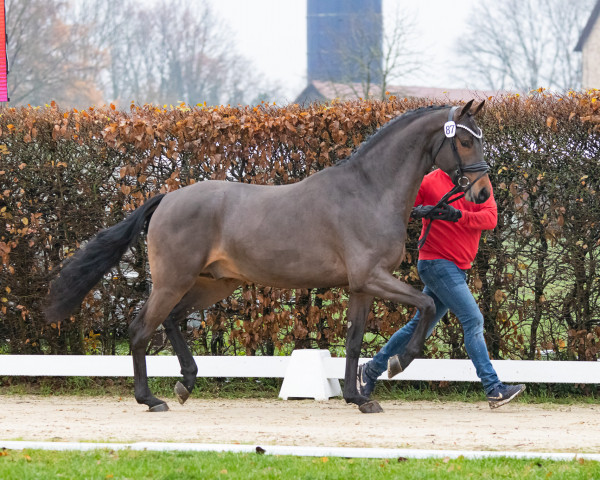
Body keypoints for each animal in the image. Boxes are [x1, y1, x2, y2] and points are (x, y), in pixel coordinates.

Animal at [45, 100, 488, 412]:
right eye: (465, 140)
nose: (482, 193)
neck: (369, 191)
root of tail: (167, 197)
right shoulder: (373, 278)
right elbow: (427, 304)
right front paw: (399, 363)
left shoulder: (361, 287)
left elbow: (354, 340)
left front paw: (358, 397)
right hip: (174, 280)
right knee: (140, 329)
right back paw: (151, 398)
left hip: (213, 283)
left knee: (170, 320)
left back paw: (186, 382)